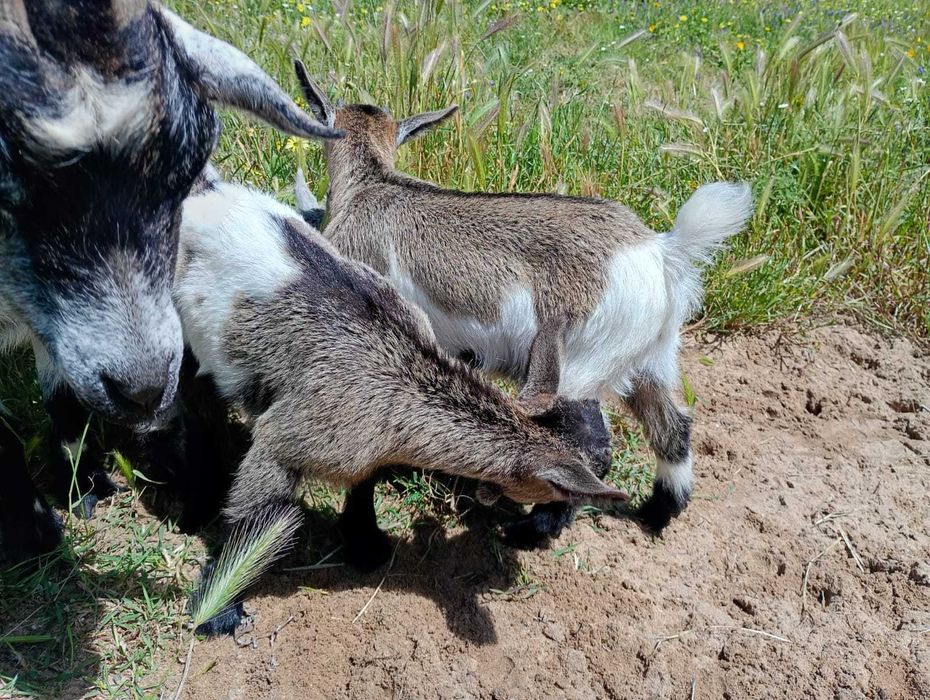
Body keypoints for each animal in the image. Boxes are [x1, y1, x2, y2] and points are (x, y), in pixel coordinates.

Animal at [173, 166, 628, 633]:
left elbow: (364, 483)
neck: (399, 373)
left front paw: (365, 546)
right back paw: (194, 504)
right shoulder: (283, 439)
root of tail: (206, 191)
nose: (530, 530)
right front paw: (220, 606)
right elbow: (253, 518)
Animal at [292, 61, 753, 546]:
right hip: (652, 358)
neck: (371, 185)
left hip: (580, 365)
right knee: (673, 428)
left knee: (594, 447)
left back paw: (532, 529)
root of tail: (663, 252)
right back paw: (657, 513)